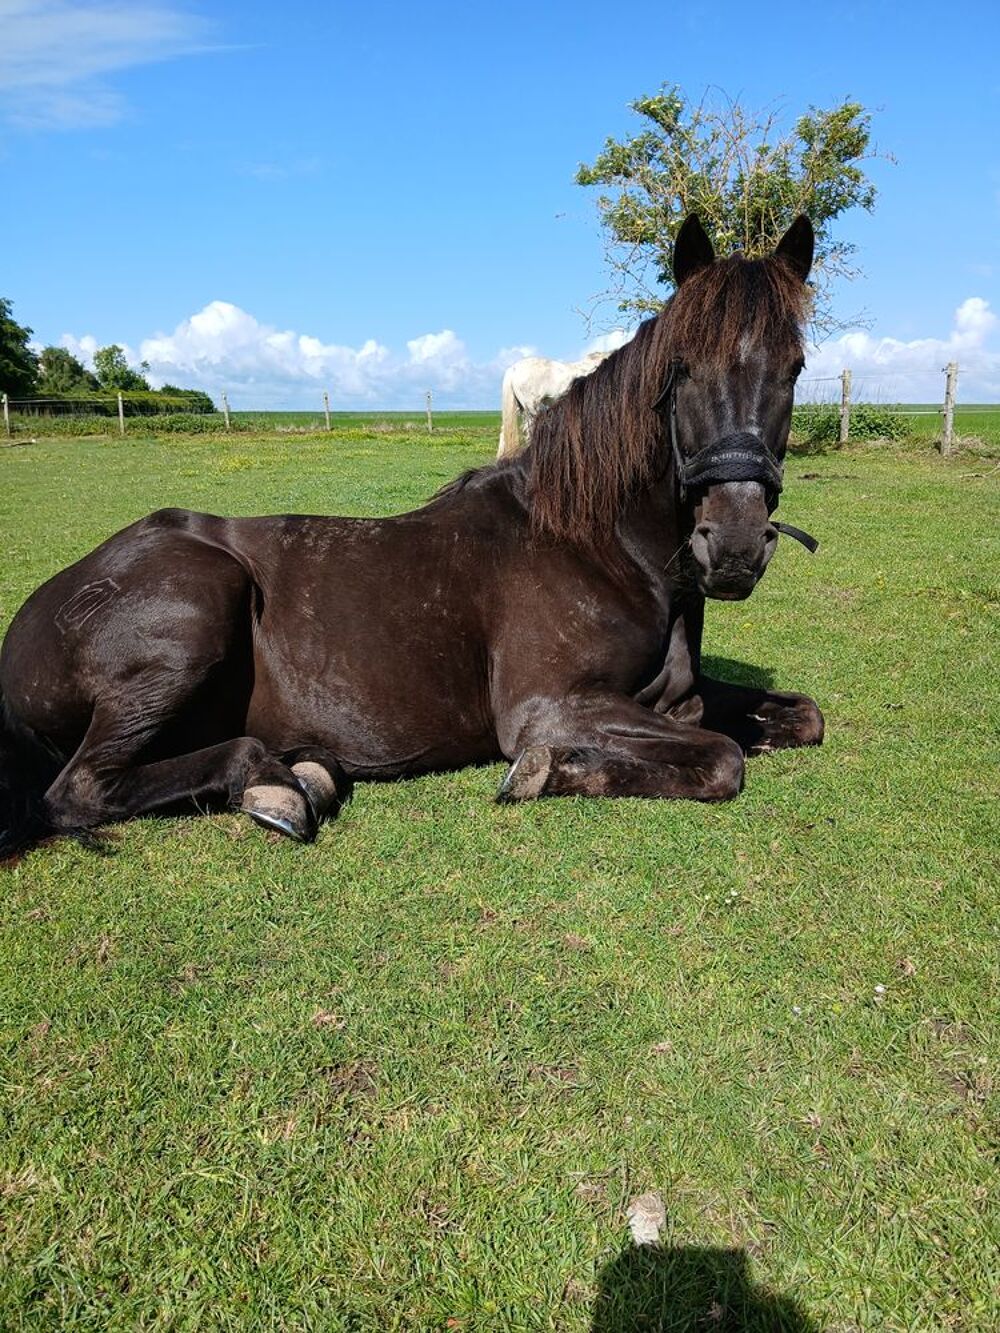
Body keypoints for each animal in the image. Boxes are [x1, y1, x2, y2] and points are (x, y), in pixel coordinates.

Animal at [0, 214, 824, 854]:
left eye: (795, 367)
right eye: (682, 369)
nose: (735, 545)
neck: (597, 547)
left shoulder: (680, 697)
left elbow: (801, 718)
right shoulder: (548, 706)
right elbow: (722, 759)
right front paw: (549, 771)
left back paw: (301, 776)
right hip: (197, 608)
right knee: (79, 789)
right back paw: (271, 783)